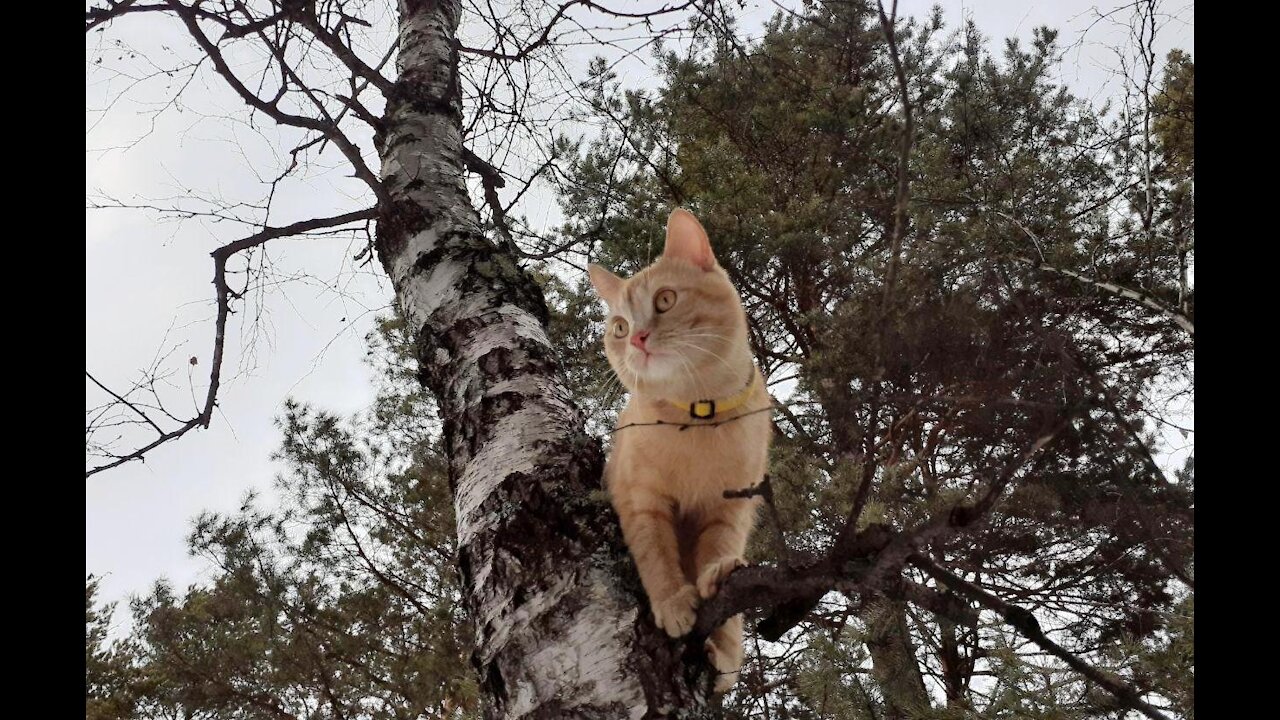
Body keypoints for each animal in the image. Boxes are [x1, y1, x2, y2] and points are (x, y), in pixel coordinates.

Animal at [588, 206, 768, 691]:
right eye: (619, 327)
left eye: (665, 300)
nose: (637, 338)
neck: (698, 417)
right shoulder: (642, 501)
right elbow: (656, 557)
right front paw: (672, 602)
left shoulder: (731, 507)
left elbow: (719, 547)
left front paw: (714, 574)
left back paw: (720, 655)